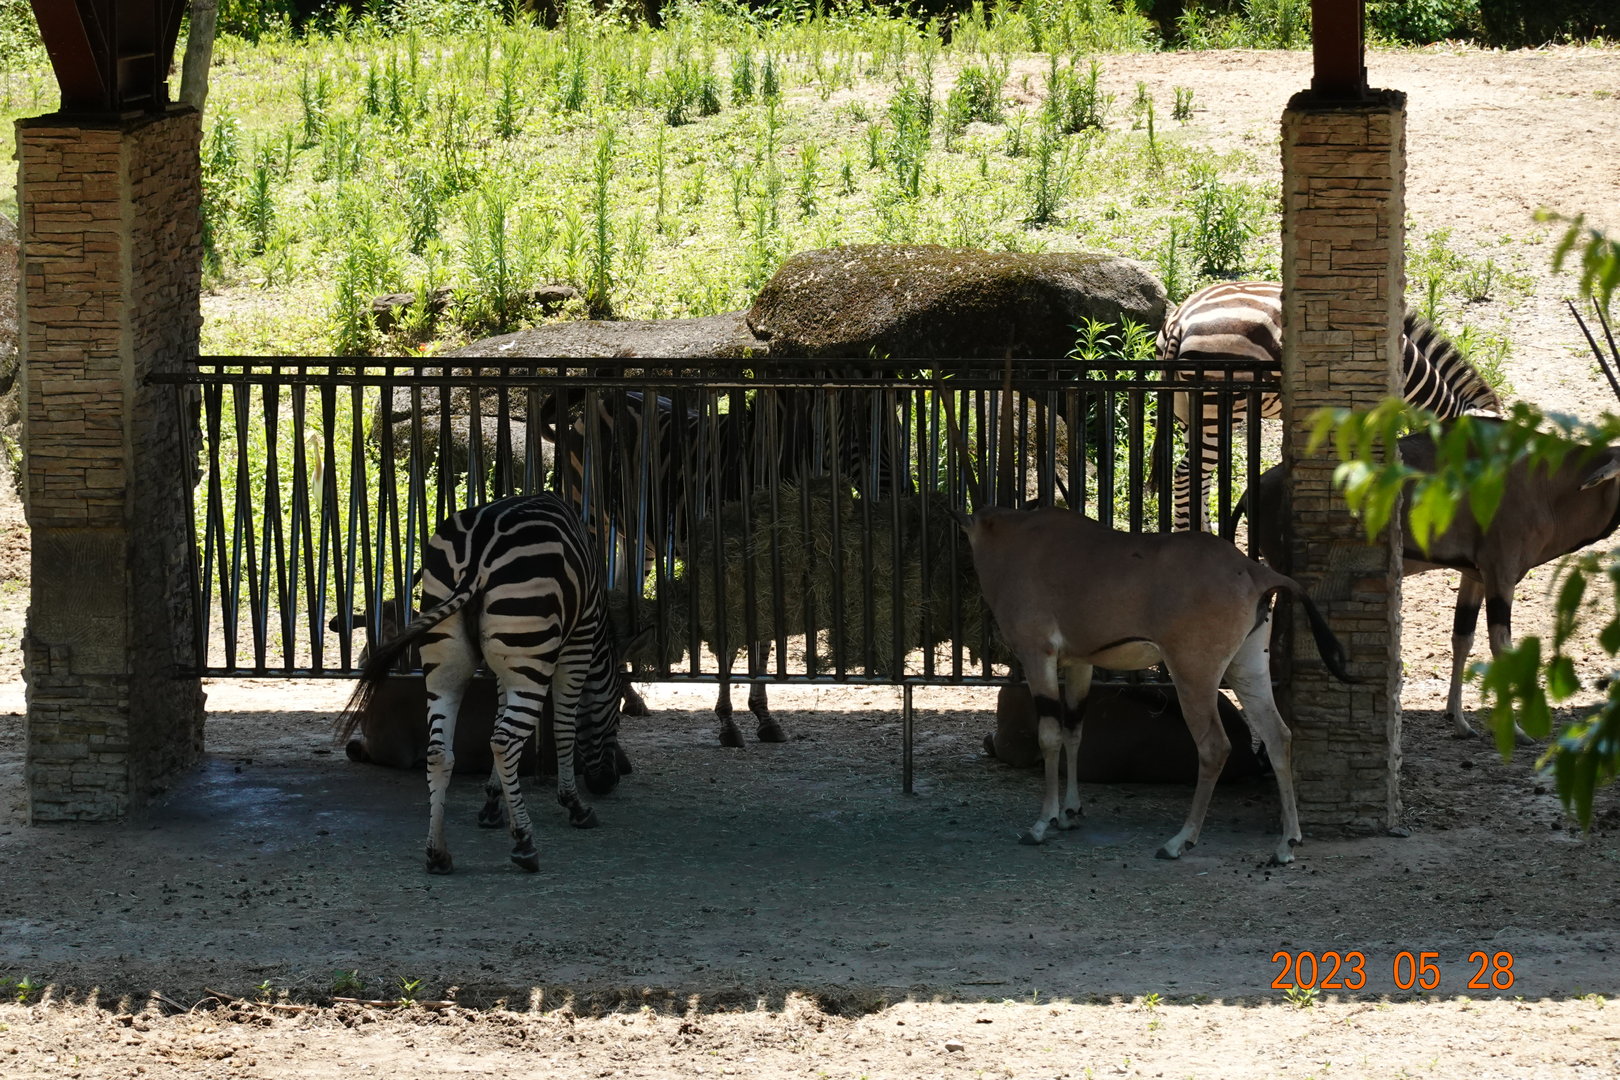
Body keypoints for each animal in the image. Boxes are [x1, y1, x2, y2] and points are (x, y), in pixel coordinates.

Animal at [339, 492, 643, 875]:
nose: (608, 782)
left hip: (447, 659)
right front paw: (572, 803)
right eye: (617, 712)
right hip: (531, 654)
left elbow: (499, 713)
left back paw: (437, 853)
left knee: (440, 751)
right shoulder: (578, 640)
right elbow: (563, 726)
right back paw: (525, 844)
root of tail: (476, 556)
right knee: (504, 741)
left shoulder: (503, 666)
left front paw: (492, 803)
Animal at [1154, 280, 1502, 532]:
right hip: (1219, 403)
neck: (1408, 370)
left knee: (1198, 474)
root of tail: (1180, 320)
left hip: (1189, 406)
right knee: (1187, 473)